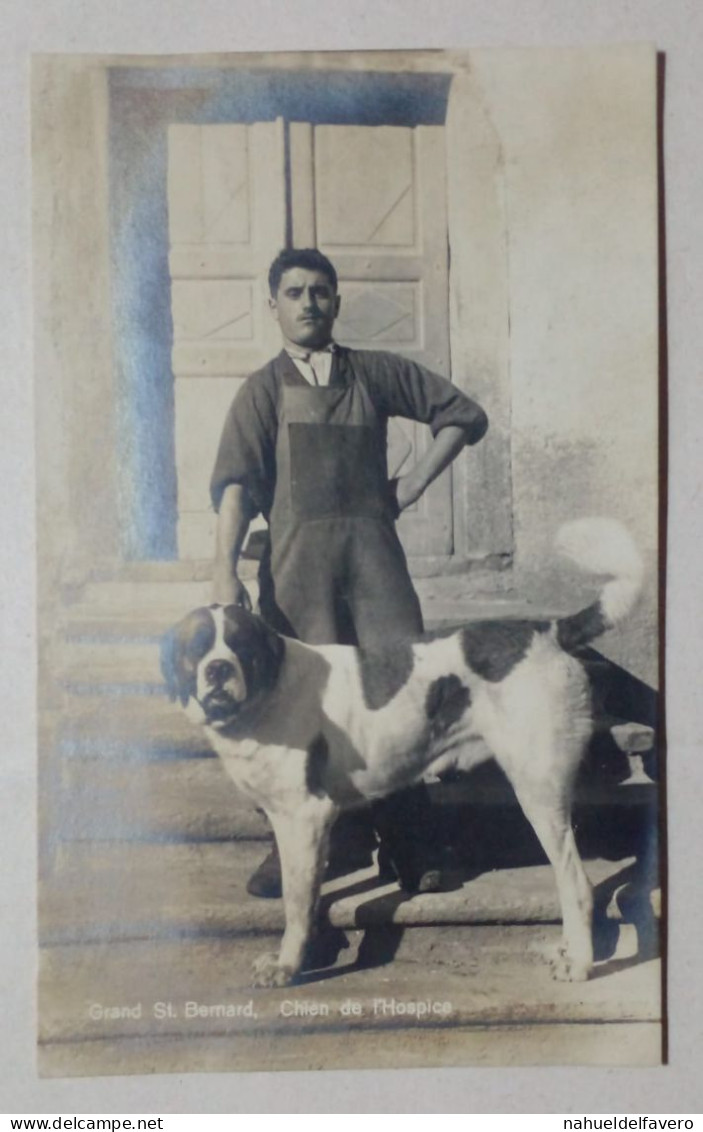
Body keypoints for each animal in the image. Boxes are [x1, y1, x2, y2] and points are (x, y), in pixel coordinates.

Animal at [161, 518, 643, 987]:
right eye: (196, 648)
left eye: (240, 645)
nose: (218, 669)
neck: (267, 694)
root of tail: (547, 631)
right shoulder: (293, 820)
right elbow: (308, 891)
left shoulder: (306, 815)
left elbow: (296, 901)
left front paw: (288, 966)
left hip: (538, 789)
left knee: (575, 882)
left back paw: (579, 963)